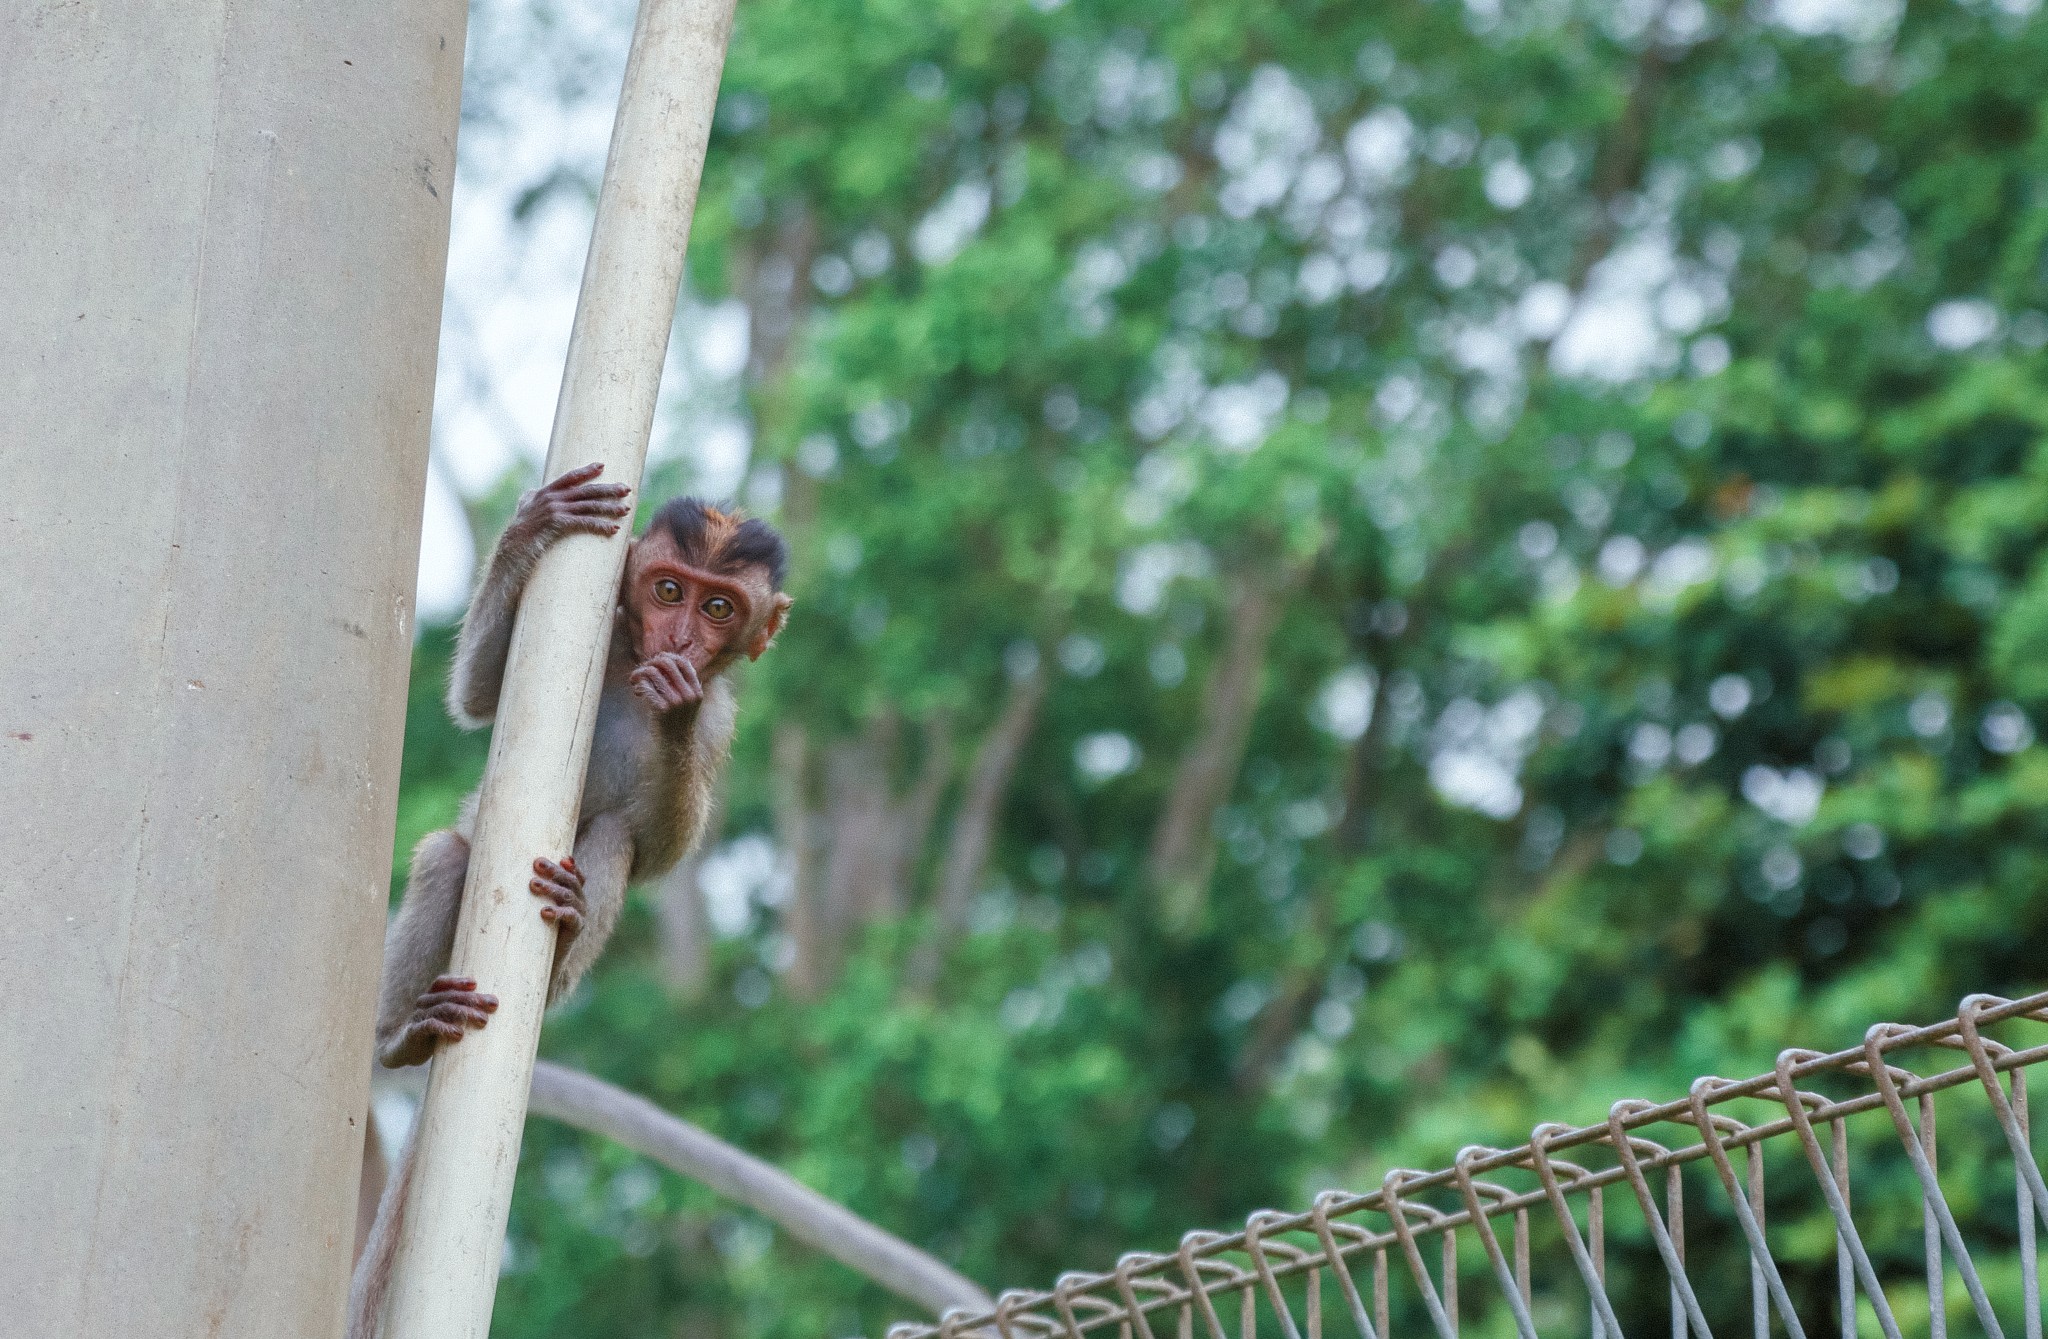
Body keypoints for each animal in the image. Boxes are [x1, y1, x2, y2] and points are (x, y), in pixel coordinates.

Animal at [352, 464, 790, 1339]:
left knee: (614, 840)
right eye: (668, 589)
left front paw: (677, 705)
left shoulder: (725, 716)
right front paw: (533, 525)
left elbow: (658, 851)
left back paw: (568, 924)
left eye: (718, 607)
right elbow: (477, 696)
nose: (680, 640)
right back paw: (403, 1039)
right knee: (449, 854)